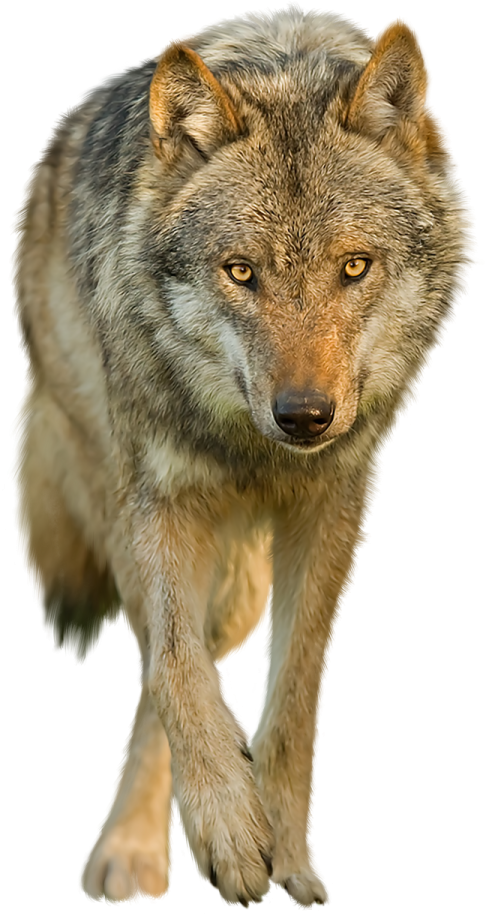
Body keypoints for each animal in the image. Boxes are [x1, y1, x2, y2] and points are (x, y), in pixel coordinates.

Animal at [10, 3, 479, 909]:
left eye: (354, 266)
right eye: (240, 272)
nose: (304, 415)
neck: (253, 450)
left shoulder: (334, 513)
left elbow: (291, 705)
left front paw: (288, 856)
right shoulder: (156, 500)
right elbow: (175, 667)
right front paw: (227, 828)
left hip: (242, 591)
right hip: (125, 510)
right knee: (160, 659)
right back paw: (133, 847)